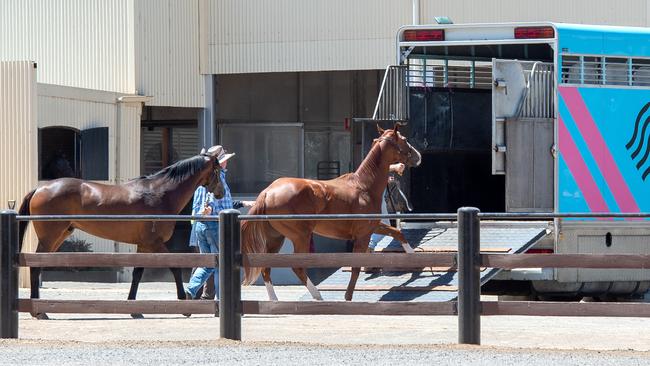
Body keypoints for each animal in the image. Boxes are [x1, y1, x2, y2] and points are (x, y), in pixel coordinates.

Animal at [18, 147, 225, 318]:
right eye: (218, 170)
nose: (221, 192)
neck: (160, 193)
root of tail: (40, 188)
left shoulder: (144, 245)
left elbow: (137, 274)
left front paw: (134, 309)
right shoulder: (154, 243)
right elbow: (174, 267)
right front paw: (184, 303)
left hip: (59, 236)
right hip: (49, 238)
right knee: (35, 267)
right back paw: (39, 312)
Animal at [242, 124, 420, 302]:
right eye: (404, 139)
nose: (417, 156)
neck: (363, 187)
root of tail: (267, 192)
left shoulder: (372, 227)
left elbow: (398, 233)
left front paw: (415, 260)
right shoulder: (362, 235)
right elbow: (356, 267)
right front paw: (348, 297)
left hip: (275, 237)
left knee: (266, 267)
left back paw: (274, 300)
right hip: (300, 236)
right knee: (297, 266)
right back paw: (318, 296)